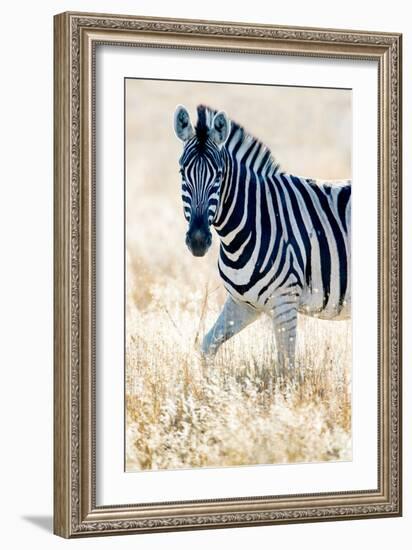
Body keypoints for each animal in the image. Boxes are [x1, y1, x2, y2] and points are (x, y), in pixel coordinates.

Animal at [173, 103, 350, 376]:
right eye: (183, 172)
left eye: (219, 175)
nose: (198, 240)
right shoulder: (243, 303)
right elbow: (206, 346)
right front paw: (206, 383)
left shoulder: (285, 302)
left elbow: (286, 368)